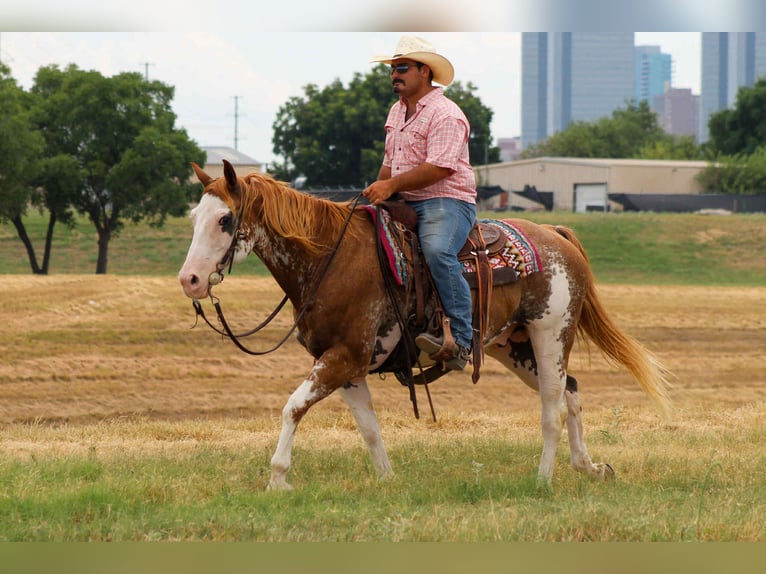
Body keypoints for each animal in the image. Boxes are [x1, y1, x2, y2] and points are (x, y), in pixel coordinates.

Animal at [178, 160, 673, 491]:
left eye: (225, 219)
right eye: (194, 218)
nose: (190, 279)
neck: (331, 258)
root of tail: (556, 233)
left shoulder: (343, 358)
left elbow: (292, 407)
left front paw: (278, 479)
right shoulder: (347, 366)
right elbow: (369, 428)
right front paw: (388, 480)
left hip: (550, 333)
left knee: (552, 407)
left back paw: (543, 479)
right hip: (513, 347)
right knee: (571, 392)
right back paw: (588, 467)